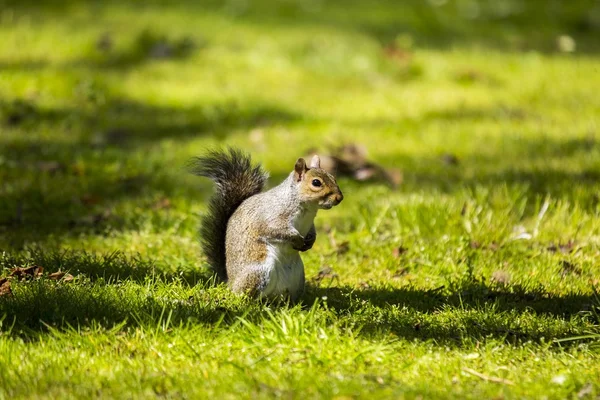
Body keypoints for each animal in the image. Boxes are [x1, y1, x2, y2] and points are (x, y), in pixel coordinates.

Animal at [190, 148, 344, 302]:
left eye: (333, 178)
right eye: (316, 182)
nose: (339, 198)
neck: (308, 208)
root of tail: (230, 282)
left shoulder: (309, 223)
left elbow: (312, 231)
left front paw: (311, 240)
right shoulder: (272, 216)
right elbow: (276, 230)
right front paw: (297, 239)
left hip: (297, 278)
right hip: (259, 272)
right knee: (245, 293)